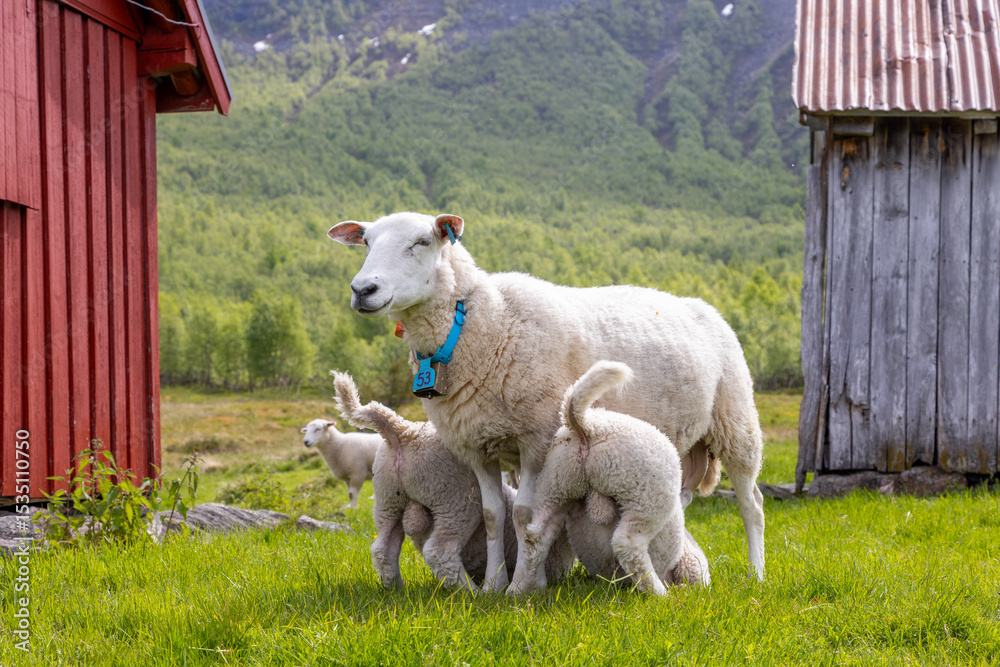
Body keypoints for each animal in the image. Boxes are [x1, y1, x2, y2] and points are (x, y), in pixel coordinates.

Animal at [331, 371, 575, 591]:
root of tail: (402, 432)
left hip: (387, 498)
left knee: (383, 548)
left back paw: (395, 588)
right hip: (453, 500)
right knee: (440, 550)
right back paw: (470, 592)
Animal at [509, 361, 709, 595]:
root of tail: (587, 427)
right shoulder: (693, 565)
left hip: (556, 483)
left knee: (537, 534)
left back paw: (527, 588)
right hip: (646, 495)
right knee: (628, 543)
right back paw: (658, 593)